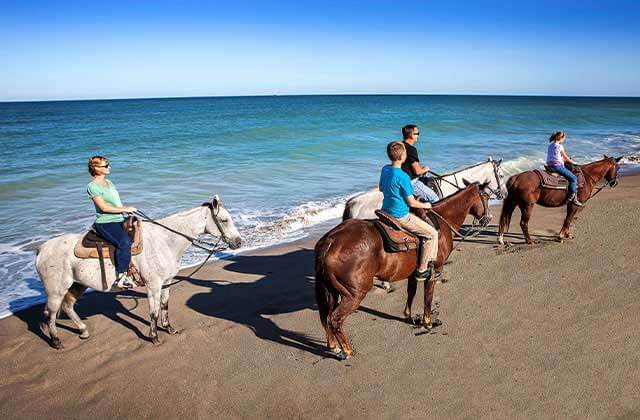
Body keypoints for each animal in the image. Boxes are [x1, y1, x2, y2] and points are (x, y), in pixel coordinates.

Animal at [37, 195, 242, 350]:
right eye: (224, 220)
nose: (239, 242)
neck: (165, 241)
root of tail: (41, 250)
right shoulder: (153, 285)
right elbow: (153, 311)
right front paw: (154, 337)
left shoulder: (166, 282)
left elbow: (165, 305)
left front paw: (169, 329)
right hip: (56, 291)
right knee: (50, 314)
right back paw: (56, 341)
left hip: (77, 284)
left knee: (68, 306)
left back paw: (83, 331)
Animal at [316, 180, 490, 358]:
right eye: (486, 196)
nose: (487, 219)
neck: (442, 221)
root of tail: (330, 241)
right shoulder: (434, 271)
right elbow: (428, 297)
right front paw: (427, 322)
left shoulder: (413, 274)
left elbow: (411, 293)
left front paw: (408, 316)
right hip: (354, 294)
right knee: (334, 319)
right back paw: (347, 349)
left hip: (331, 290)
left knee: (326, 316)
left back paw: (333, 347)